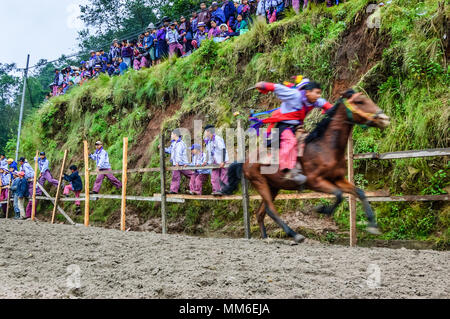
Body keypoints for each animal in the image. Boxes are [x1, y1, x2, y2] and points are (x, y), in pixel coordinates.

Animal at [221, 91, 390, 244]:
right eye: (359, 101)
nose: (384, 119)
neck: (324, 147)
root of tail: (246, 160)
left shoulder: (338, 178)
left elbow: (359, 193)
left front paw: (372, 225)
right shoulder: (315, 181)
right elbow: (339, 194)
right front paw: (321, 209)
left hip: (274, 186)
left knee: (261, 212)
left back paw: (266, 237)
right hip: (260, 182)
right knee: (271, 210)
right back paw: (295, 235)